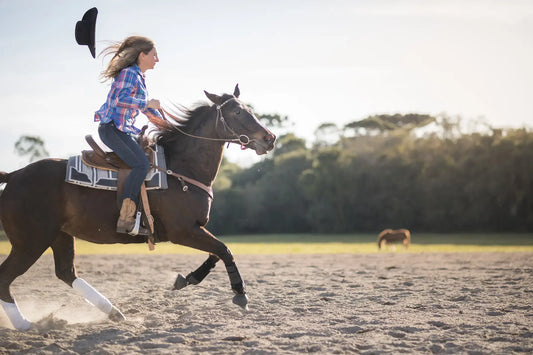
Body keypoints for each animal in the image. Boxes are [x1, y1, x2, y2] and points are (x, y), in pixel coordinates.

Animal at [0, 85, 274, 330]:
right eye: (237, 112)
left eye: (249, 110)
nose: (269, 138)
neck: (180, 169)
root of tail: (13, 176)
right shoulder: (183, 231)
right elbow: (224, 250)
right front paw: (240, 294)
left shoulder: (194, 230)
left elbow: (216, 253)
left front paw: (186, 279)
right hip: (31, 242)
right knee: (6, 276)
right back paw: (24, 324)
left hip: (60, 236)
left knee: (66, 272)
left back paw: (114, 312)